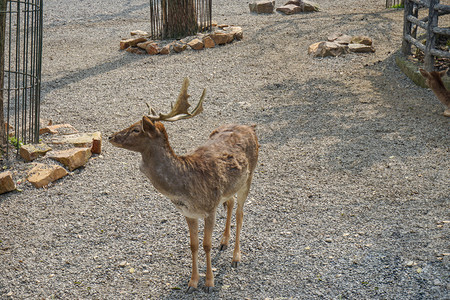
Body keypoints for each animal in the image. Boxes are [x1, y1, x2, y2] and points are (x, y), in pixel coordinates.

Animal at [108, 78, 260, 294]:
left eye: (137, 129)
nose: (111, 136)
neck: (183, 188)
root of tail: (250, 127)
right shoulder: (188, 213)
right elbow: (193, 245)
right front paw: (192, 283)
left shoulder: (210, 208)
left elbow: (206, 245)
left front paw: (209, 283)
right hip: (231, 186)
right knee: (229, 203)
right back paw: (224, 242)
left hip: (249, 177)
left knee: (240, 213)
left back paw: (236, 257)